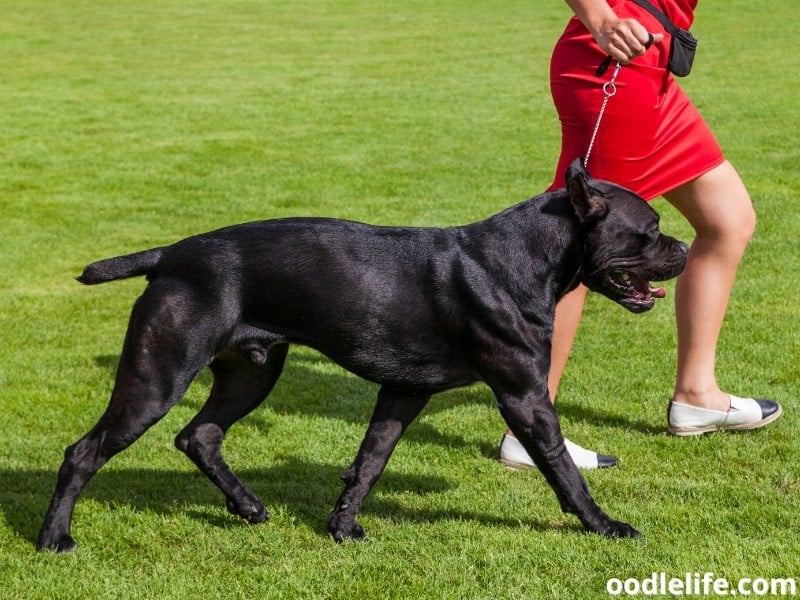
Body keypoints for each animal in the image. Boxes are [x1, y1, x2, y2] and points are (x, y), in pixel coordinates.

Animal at [37, 161, 688, 552]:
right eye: (650, 228)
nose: (684, 249)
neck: (524, 257)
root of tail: (172, 254)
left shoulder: (404, 391)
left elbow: (369, 462)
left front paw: (342, 526)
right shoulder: (525, 398)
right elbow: (565, 473)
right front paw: (605, 525)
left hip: (250, 373)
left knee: (199, 436)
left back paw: (248, 507)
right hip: (157, 377)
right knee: (84, 452)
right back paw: (53, 537)